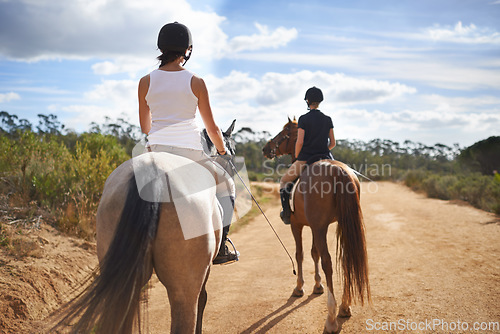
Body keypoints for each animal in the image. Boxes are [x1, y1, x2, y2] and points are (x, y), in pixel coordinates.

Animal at [264, 119, 370, 334]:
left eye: (283, 133)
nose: (266, 149)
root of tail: (339, 170)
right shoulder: (316, 226)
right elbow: (314, 253)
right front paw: (317, 285)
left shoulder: (299, 225)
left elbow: (300, 254)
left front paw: (299, 287)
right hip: (341, 224)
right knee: (345, 259)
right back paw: (344, 306)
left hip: (320, 227)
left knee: (328, 262)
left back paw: (331, 318)